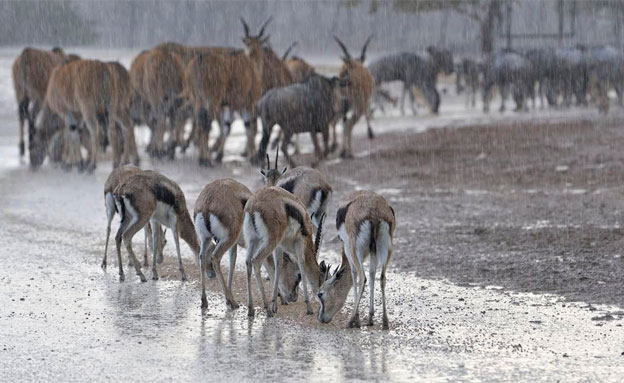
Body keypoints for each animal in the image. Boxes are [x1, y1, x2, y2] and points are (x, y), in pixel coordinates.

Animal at [240, 187, 326, 318]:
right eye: (323, 277)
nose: (294, 297)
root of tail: (252, 206)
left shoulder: (279, 246)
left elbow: (278, 266)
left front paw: (275, 304)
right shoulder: (300, 242)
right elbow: (301, 264)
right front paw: (309, 307)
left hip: (253, 240)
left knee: (248, 262)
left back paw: (251, 309)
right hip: (270, 241)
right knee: (256, 261)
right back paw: (267, 310)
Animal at [316, 191, 394, 330]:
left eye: (320, 294)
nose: (320, 318)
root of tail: (374, 211)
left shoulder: (347, 246)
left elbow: (353, 273)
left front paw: (357, 319)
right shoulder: (372, 250)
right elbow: (372, 273)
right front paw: (370, 318)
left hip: (355, 249)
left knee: (362, 277)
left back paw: (351, 321)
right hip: (386, 248)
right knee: (382, 277)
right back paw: (385, 322)